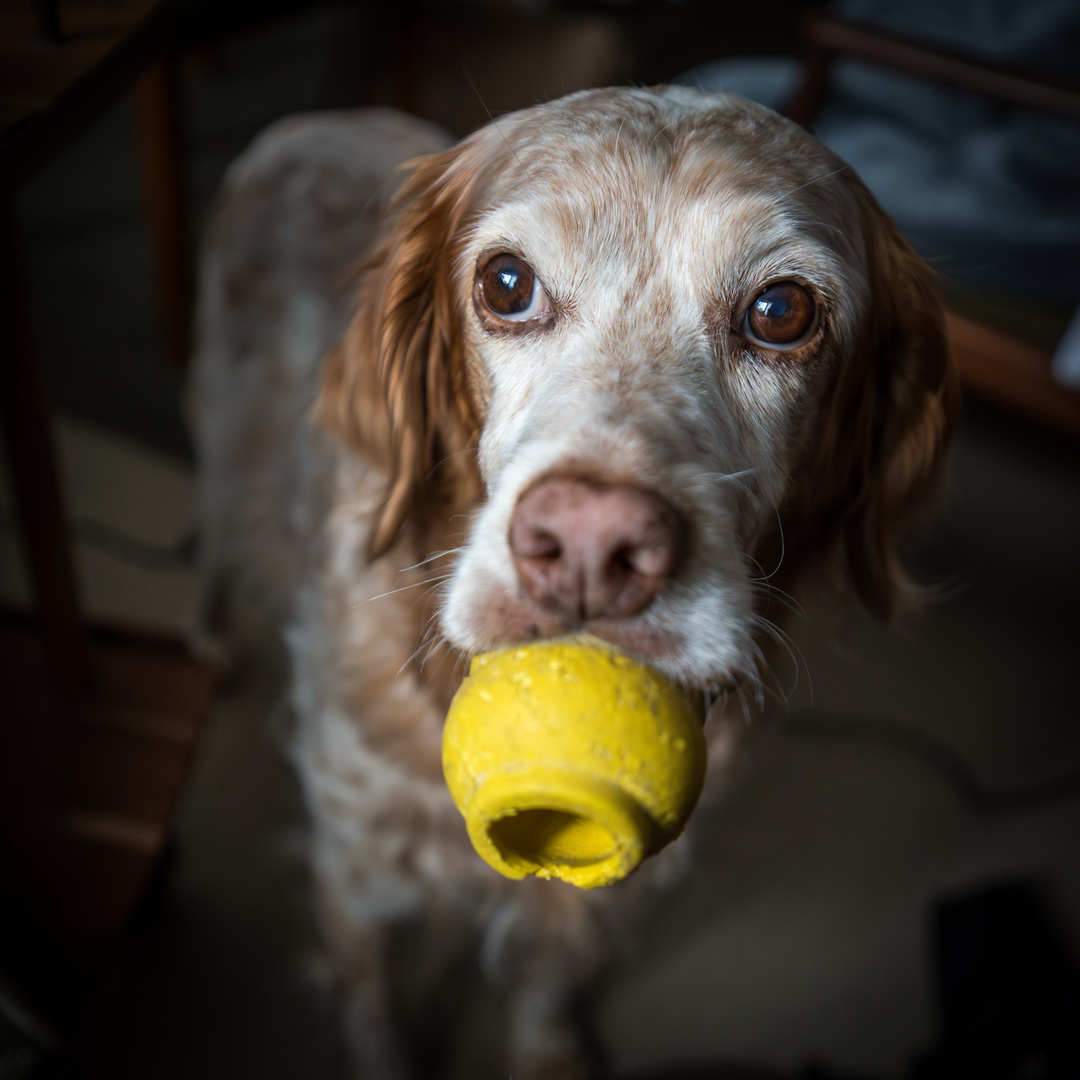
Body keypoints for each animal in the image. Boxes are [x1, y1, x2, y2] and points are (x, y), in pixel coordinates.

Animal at [190, 86, 959, 1080]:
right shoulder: (355, 864)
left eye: (782, 309)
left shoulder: (606, 888)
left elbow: (546, 984)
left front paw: (547, 1048)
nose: (593, 545)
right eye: (507, 285)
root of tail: (316, 117)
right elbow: (373, 1003)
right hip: (219, 432)